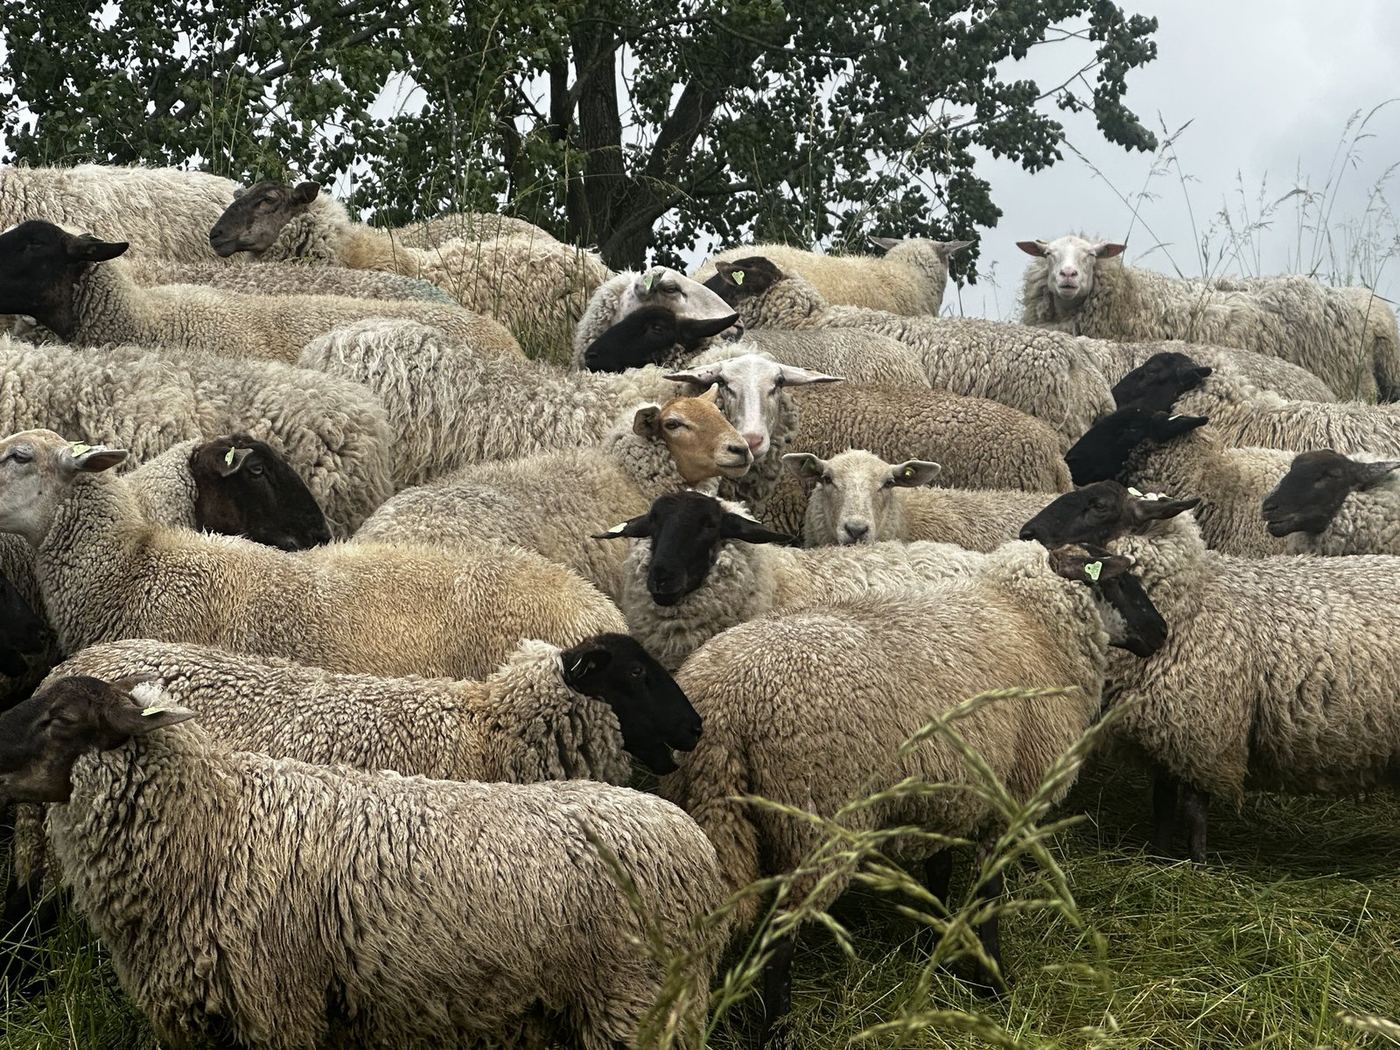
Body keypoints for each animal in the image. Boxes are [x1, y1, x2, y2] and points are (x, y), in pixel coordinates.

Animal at [659, 539, 1164, 1041]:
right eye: (1120, 580)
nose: (1159, 633)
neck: (1030, 621)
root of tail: (726, 703)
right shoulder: (1012, 798)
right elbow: (989, 896)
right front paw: (994, 983)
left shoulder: (948, 795)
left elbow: (937, 875)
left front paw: (933, 946)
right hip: (816, 819)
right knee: (780, 935)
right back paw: (777, 1029)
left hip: (713, 806)